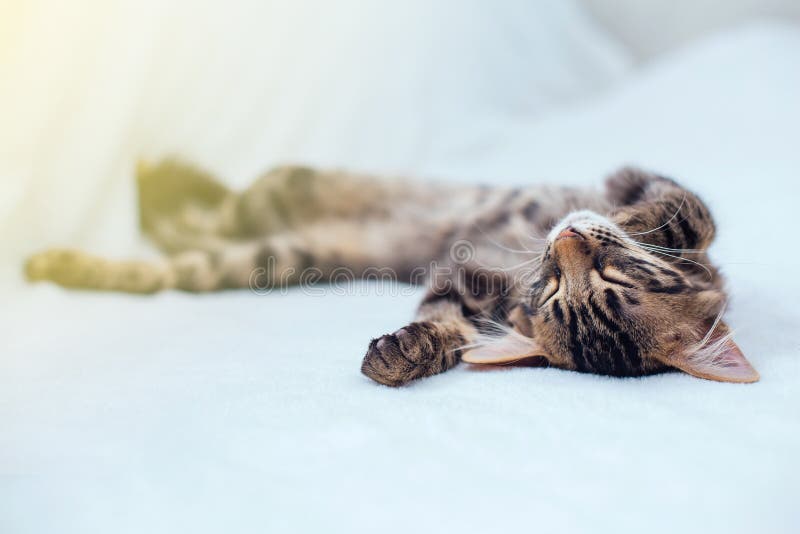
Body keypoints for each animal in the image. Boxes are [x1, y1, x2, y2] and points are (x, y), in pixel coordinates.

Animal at [25, 161, 760, 388]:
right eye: (554, 283)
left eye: (606, 283)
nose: (567, 240)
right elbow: (681, 216)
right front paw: (633, 217)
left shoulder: (464, 286)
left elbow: (445, 330)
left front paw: (407, 353)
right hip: (279, 193)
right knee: (214, 205)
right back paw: (155, 173)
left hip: (273, 257)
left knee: (181, 250)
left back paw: (58, 260)